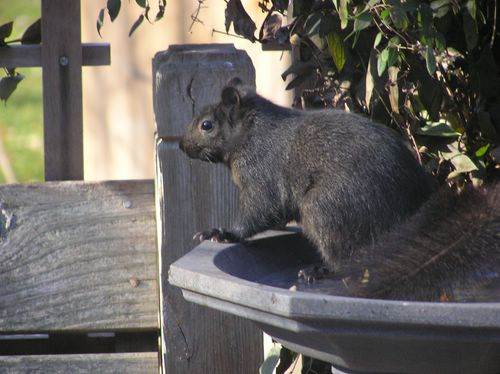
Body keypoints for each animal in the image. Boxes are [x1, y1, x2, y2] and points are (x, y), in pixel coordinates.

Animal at [180, 80, 500, 302]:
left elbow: (260, 211)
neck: (250, 134)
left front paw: (222, 232)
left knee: (349, 259)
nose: (182, 146)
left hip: (326, 209)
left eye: (207, 125)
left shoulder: (261, 174)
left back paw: (319, 270)